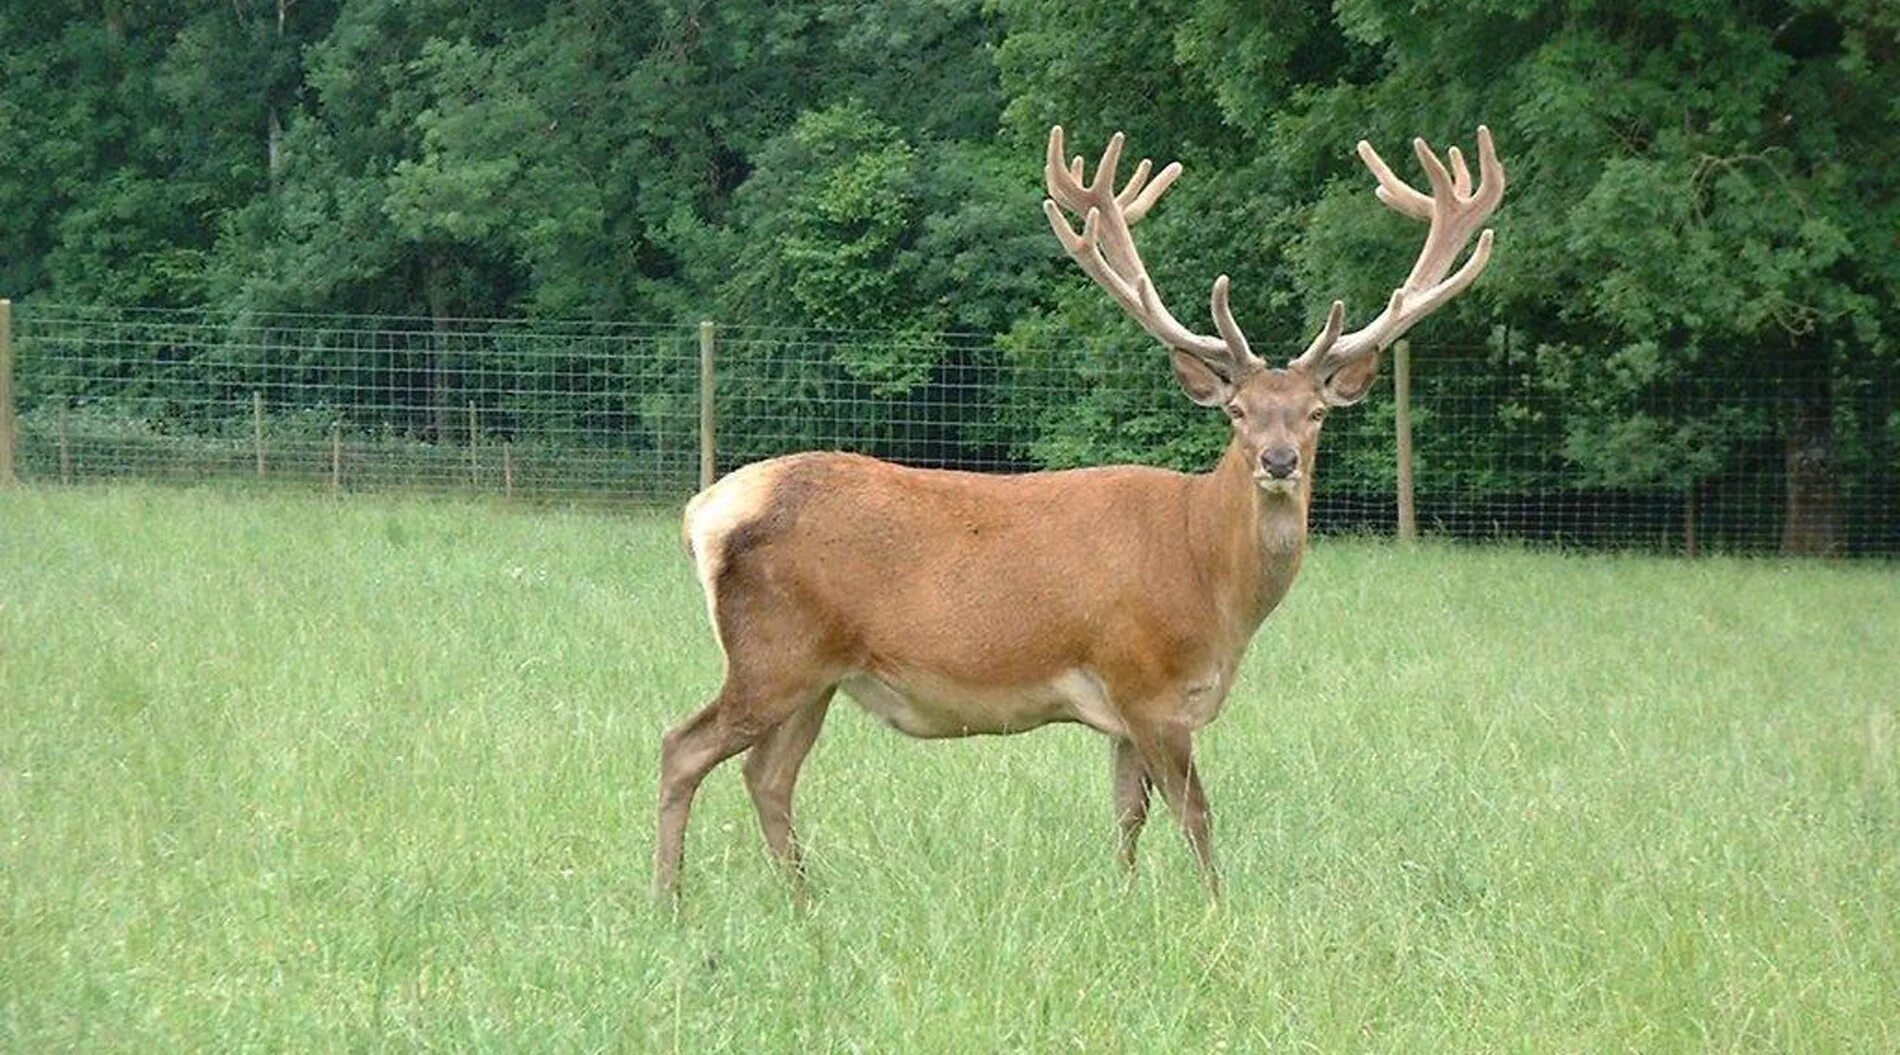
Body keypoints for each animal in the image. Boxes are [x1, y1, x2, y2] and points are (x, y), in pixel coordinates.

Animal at [661, 121, 1504, 901]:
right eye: (1237, 411)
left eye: (1316, 413)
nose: (1277, 460)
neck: (1213, 585)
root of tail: (707, 510)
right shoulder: (1145, 680)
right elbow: (1196, 815)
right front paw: (1217, 905)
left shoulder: (1129, 711)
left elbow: (1128, 814)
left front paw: (1125, 897)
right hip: (775, 651)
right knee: (683, 745)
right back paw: (670, 898)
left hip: (819, 673)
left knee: (768, 775)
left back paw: (805, 901)